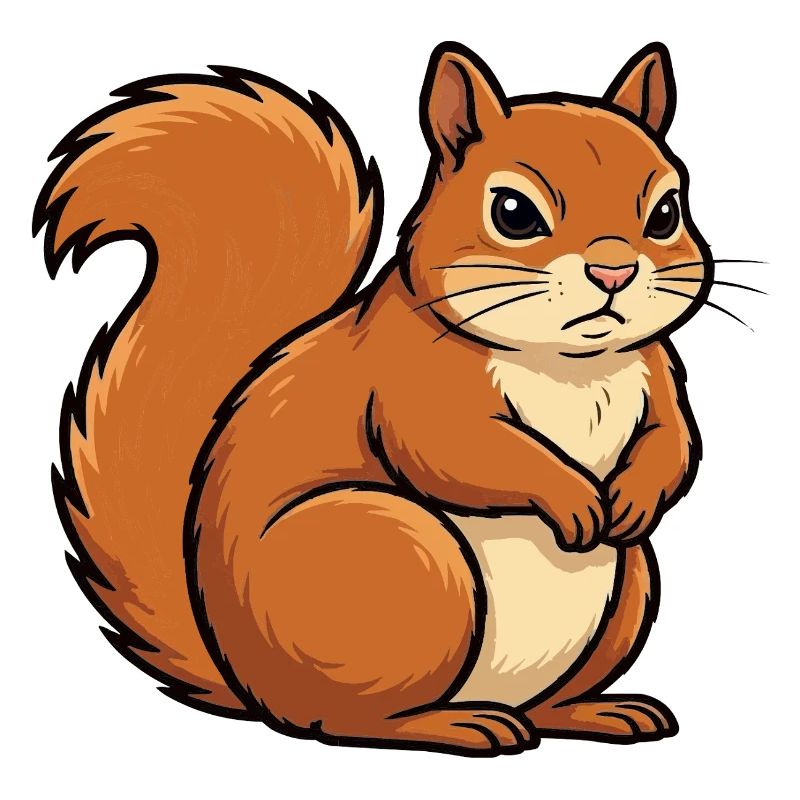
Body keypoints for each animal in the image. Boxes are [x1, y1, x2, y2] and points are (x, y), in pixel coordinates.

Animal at [35, 41, 709, 756]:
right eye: (513, 213)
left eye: (667, 211)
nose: (614, 271)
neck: (570, 365)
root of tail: (250, 685)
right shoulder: (413, 378)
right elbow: (457, 447)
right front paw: (573, 498)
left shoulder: (659, 371)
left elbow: (675, 441)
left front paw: (634, 495)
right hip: (403, 557)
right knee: (344, 721)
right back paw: (457, 724)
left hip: (631, 582)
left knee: (550, 693)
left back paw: (597, 711)